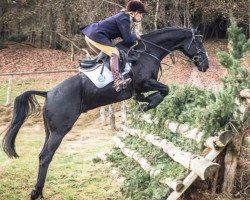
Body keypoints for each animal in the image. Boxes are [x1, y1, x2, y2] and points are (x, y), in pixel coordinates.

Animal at [2, 27, 209, 200]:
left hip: (50, 131)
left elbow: (153, 93)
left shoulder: (141, 86)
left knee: (42, 155)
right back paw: (36, 192)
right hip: (60, 130)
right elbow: (165, 90)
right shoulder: (144, 82)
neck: (148, 52)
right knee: (46, 156)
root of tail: (49, 93)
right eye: (199, 43)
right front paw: (148, 104)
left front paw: (144, 102)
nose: (205, 66)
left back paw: (39, 191)